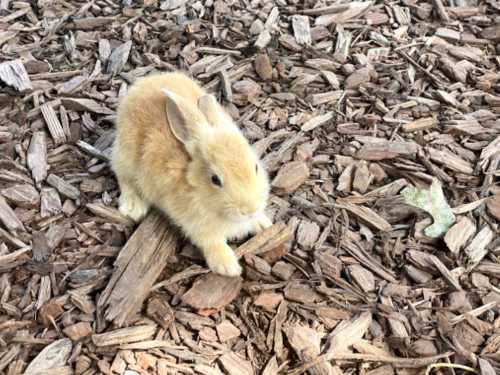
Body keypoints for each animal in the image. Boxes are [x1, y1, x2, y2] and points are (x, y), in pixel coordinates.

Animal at [111, 72, 272, 278]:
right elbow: (212, 243)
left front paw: (263, 224)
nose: (250, 210)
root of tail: (140, 86)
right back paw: (133, 207)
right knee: (124, 177)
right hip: (126, 157)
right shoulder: (199, 228)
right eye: (215, 179)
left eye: (256, 168)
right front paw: (228, 267)